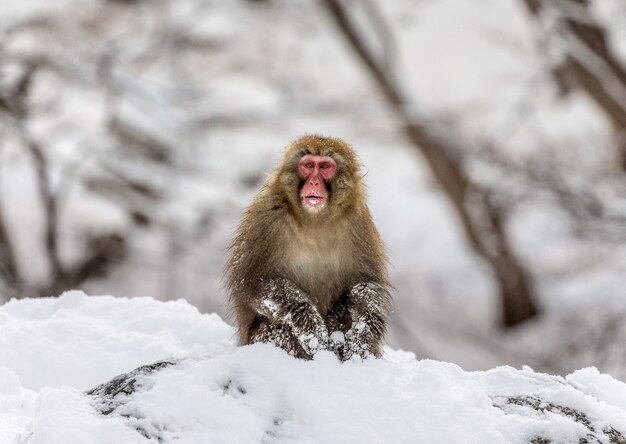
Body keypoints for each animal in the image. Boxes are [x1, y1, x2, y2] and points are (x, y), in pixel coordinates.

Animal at [224, 135, 390, 360]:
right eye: (309, 165)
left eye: (325, 166)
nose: (314, 182)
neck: (314, 219)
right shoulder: (267, 217)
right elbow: (253, 283)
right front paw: (309, 326)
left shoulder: (358, 222)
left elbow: (365, 284)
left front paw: (364, 337)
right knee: (275, 325)